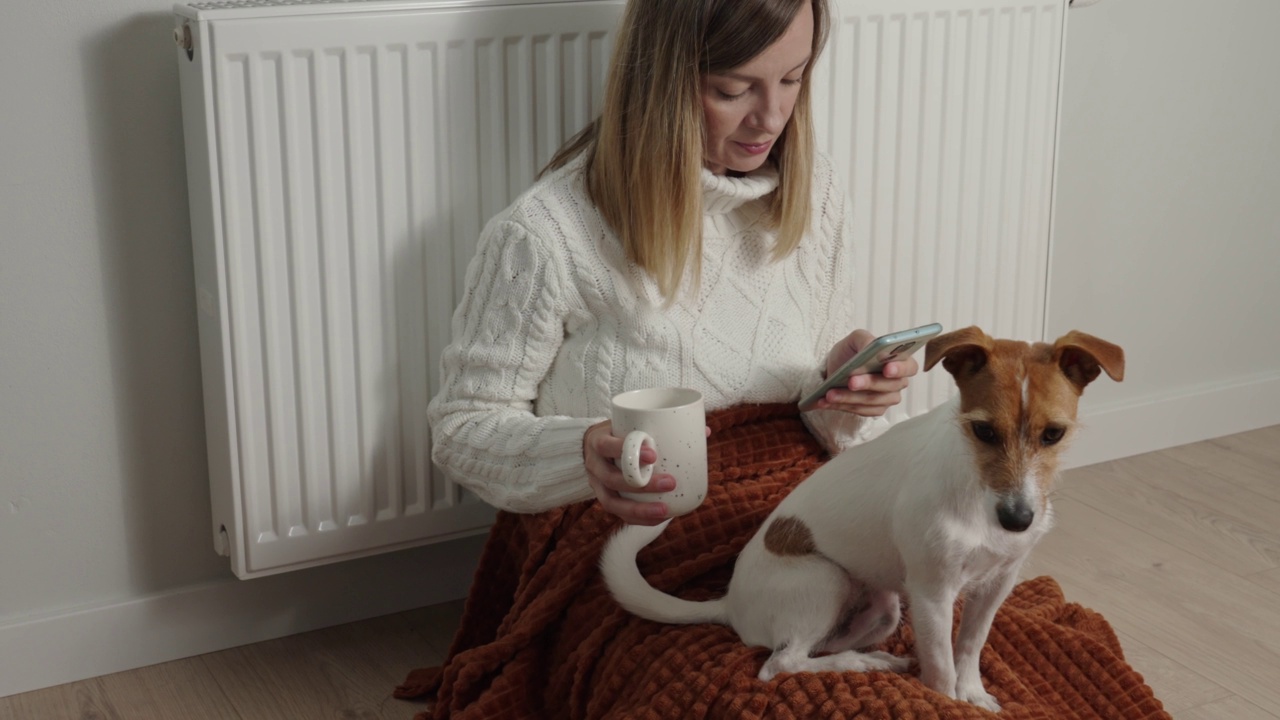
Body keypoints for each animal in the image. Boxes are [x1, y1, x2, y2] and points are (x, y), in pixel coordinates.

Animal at [599, 327, 1121, 707]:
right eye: (984, 431)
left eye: (1054, 434)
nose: (1018, 520)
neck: (976, 490)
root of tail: (729, 604)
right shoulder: (932, 593)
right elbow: (942, 666)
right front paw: (948, 701)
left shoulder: (997, 583)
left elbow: (971, 647)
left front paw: (973, 695)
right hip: (824, 581)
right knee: (780, 664)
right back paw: (865, 665)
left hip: (883, 609)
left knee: (814, 648)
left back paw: (865, 659)